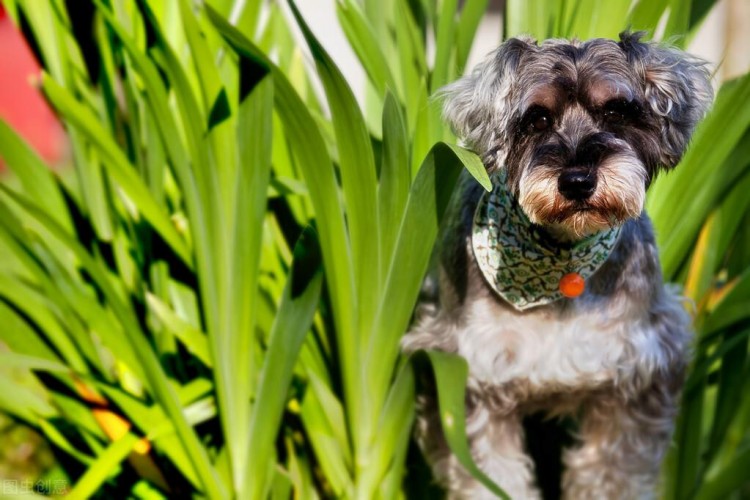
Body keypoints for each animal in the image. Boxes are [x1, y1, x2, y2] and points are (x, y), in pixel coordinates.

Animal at [402, 32, 712, 500]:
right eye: (536, 119)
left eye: (616, 111)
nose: (578, 181)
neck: (563, 258)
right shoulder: (474, 379)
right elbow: (493, 477)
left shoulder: (638, 375)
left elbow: (612, 474)